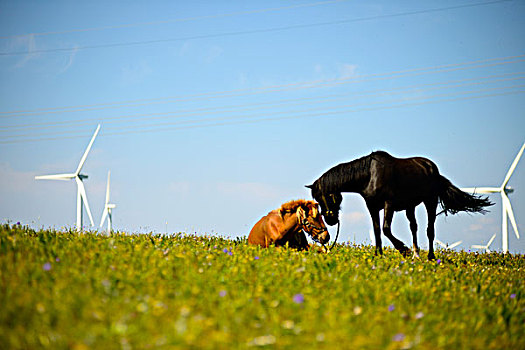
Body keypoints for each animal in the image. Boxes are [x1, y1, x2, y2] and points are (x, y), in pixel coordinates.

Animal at [304, 150, 494, 260]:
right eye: (317, 200)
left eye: (327, 196)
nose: (330, 220)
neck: (369, 175)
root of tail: (432, 168)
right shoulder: (372, 207)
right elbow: (377, 230)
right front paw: (378, 255)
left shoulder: (389, 204)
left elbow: (386, 228)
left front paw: (403, 249)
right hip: (410, 206)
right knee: (414, 227)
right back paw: (416, 255)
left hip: (430, 201)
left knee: (430, 230)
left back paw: (430, 256)